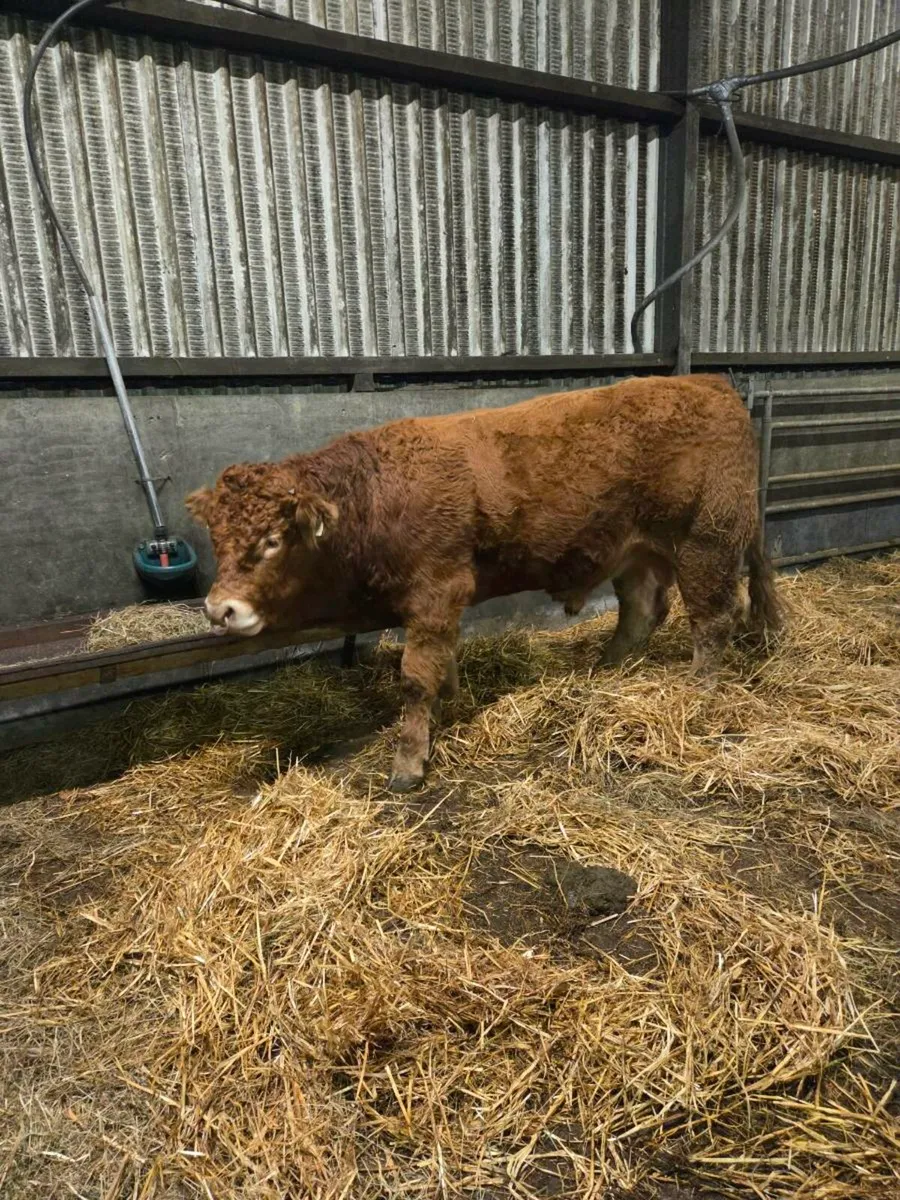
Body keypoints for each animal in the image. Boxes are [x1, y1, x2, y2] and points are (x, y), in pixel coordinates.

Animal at [186, 375, 781, 792]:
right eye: (216, 538)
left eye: (272, 540)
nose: (221, 610)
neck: (375, 499)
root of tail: (707, 383)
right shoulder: (437, 606)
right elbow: (441, 663)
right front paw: (448, 705)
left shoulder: (435, 591)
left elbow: (415, 678)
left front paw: (408, 763)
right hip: (638, 550)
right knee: (642, 611)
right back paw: (605, 672)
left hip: (706, 541)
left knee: (713, 619)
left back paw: (698, 692)